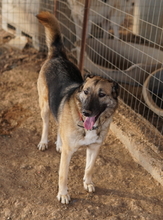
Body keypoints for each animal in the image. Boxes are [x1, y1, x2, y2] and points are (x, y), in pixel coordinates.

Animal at [36, 11, 118, 205]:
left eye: (102, 95)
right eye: (86, 92)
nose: (86, 112)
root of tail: (57, 55)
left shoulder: (94, 148)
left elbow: (89, 168)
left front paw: (87, 183)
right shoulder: (68, 154)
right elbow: (63, 175)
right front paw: (63, 194)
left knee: (59, 124)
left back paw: (58, 143)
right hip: (44, 106)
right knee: (46, 124)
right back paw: (44, 142)